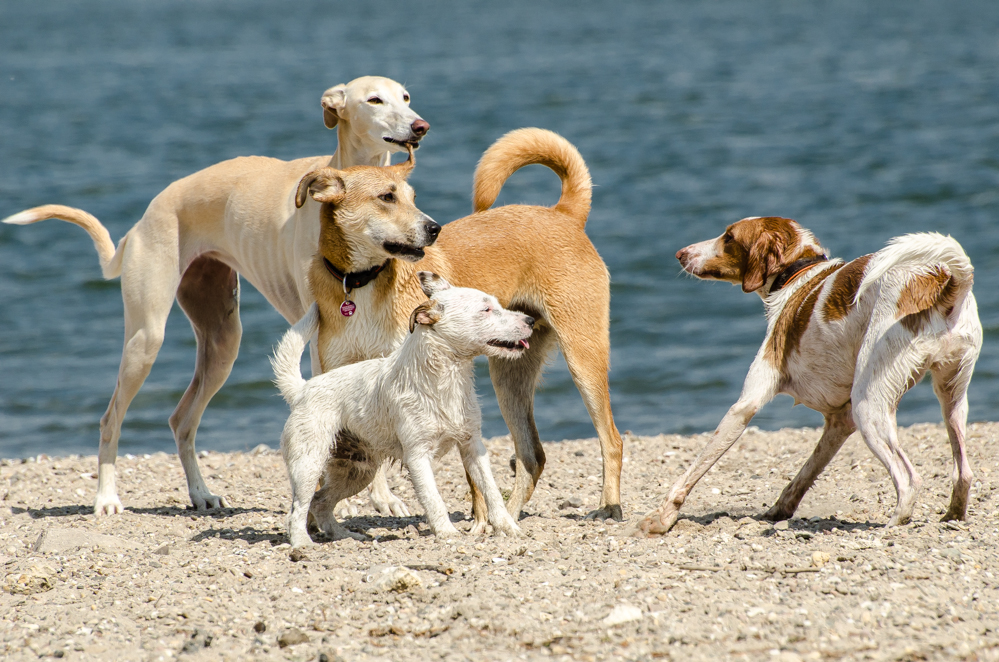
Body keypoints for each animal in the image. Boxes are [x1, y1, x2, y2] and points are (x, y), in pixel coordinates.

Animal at [270, 272, 528, 548]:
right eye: (486, 309)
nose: (531, 320)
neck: (445, 379)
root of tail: (302, 389)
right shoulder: (418, 456)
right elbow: (434, 499)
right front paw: (447, 533)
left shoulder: (473, 446)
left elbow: (492, 491)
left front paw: (508, 527)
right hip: (309, 464)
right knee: (298, 509)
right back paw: (302, 543)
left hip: (357, 471)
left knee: (320, 502)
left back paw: (344, 536)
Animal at [294, 127, 624, 528]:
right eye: (387, 197)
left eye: (413, 197)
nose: (433, 228)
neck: (361, 284)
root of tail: (564, 214)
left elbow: (471, 470)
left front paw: (476, 519)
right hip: (509, 375)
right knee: (532, 456)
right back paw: (511, 516)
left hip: (583, 358)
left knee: (611, 439)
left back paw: (608, 506)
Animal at [632, 218, 984, 540]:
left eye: (729, 237)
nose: (680, 253)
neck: (797, 275)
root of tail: (944, 281)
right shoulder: (840, 421)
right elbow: (804, 474)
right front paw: (780, 508)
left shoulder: (746, 404)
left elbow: (693, 471)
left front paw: (662, 517)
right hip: (950, 398)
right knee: (963, 473)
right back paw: (952, 514)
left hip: (869, 406)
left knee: (909, 480)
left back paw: (892, 524)